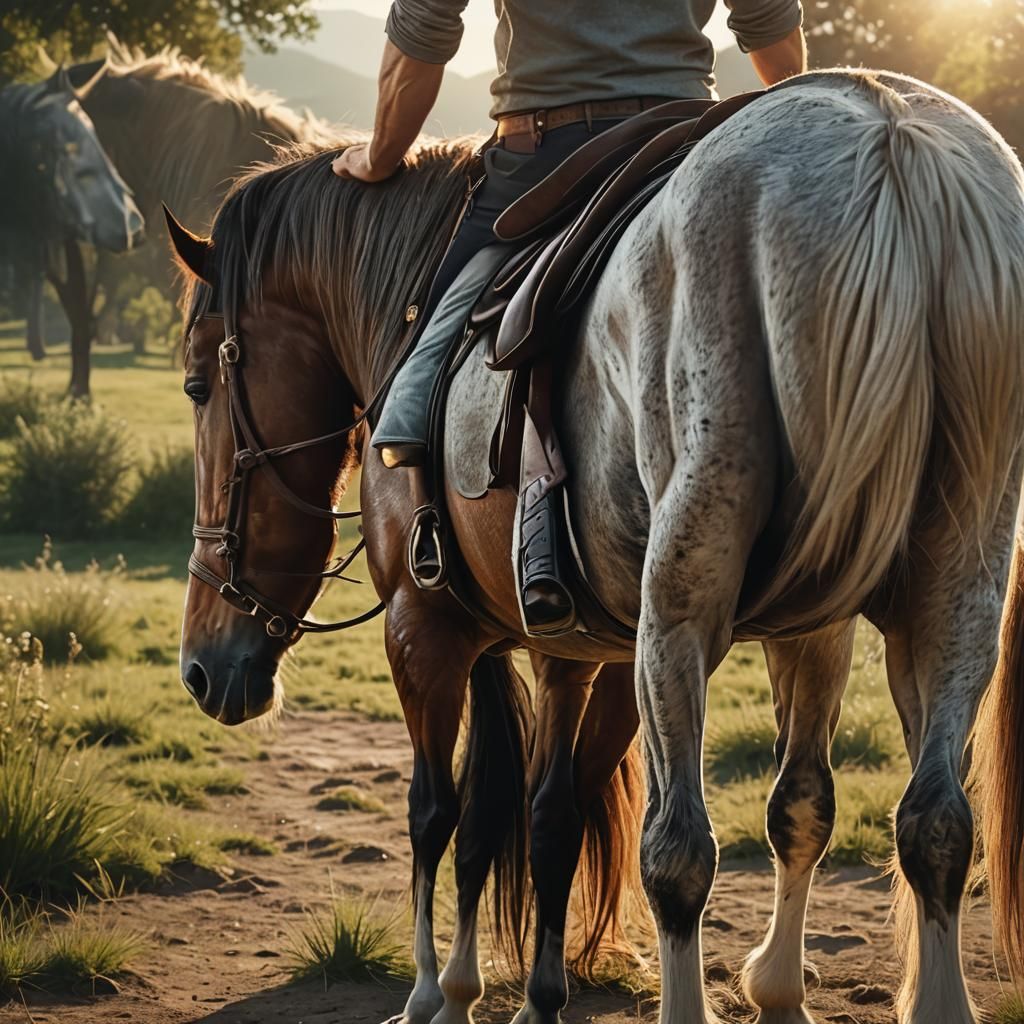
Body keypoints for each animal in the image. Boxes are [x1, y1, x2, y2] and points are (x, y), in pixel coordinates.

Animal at [168, 69, 1024, 1024]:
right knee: (924, 823)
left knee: (678, 851)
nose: (203, 667)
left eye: (197, 384)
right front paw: (533, 995)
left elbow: (442, 811)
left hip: (681, 609)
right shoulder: (583, 649)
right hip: (940, 595)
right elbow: (543, 815)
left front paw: (435, 993)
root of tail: (894, 138)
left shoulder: (426, 629)